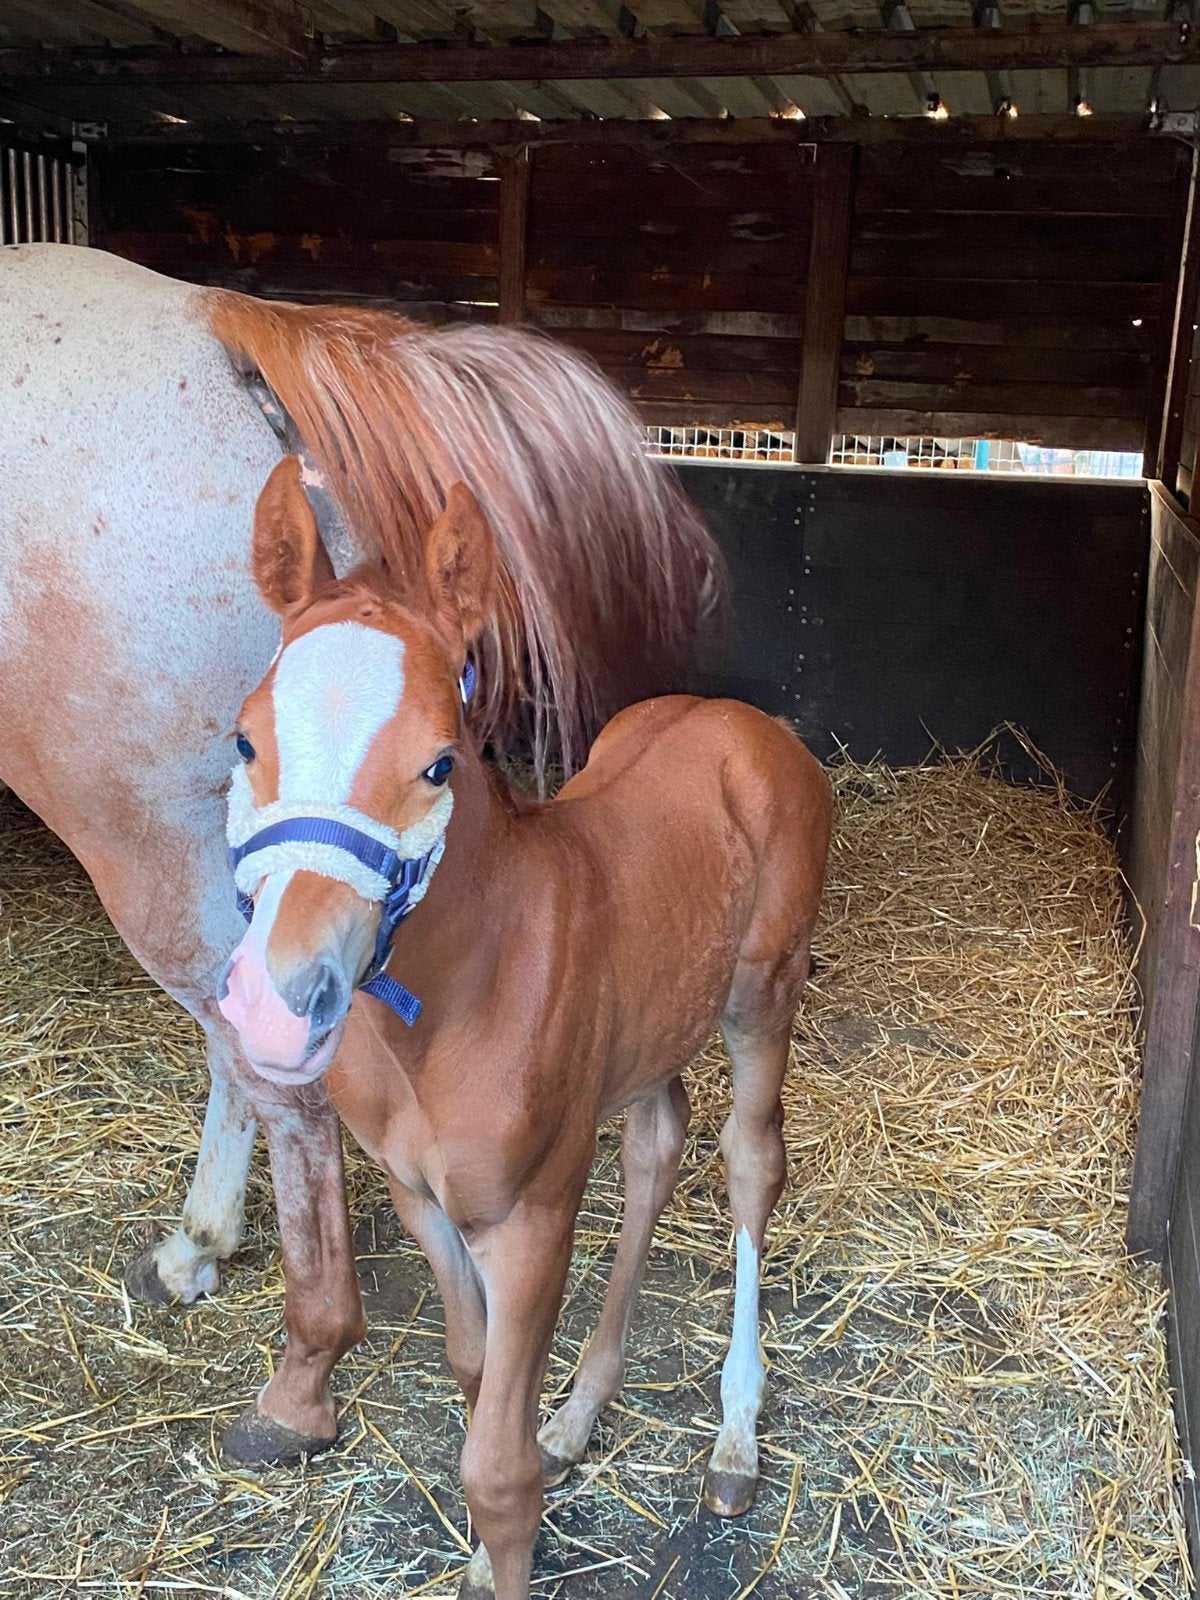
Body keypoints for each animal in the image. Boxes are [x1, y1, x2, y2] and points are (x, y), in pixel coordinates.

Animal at [0, 242, 723, 1463]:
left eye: (434, 761)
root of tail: (215, 318)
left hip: (142, 836)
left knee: (276, 1076)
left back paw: (302, 1365)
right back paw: (209, 1249)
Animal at [215, 455, 832, 1600]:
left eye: (439, 763)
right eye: (245, 737)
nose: (276, 1003)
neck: (449, 1009)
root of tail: (744, 721)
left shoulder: (534, 1214)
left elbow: (496, 1475)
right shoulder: (422, 1197)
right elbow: (475, 1376)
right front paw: (484, 1538)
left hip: (762, 995)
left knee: (749, 1161)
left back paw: (734, 1435)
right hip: (649, 1025)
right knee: (656, 1144)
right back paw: (580, 1411)